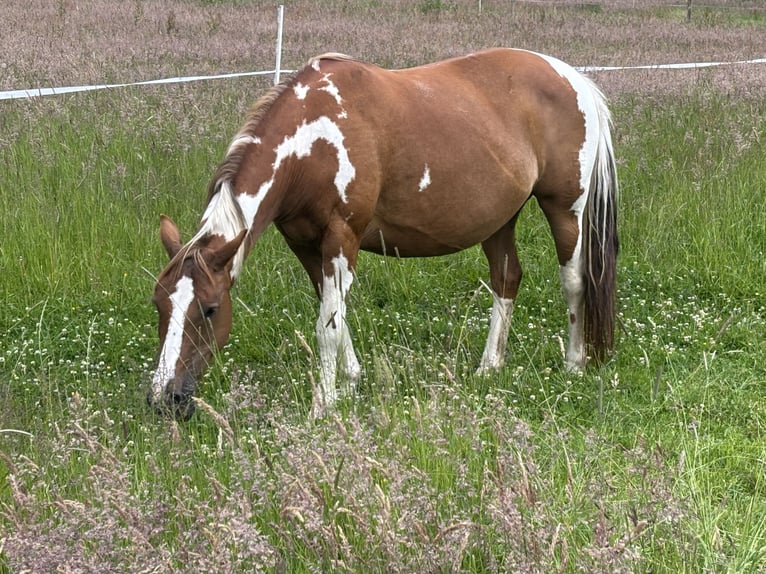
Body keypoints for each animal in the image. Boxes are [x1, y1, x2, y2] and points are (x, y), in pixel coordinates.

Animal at [149, 48, 618, 420]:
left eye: (210, 309)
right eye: (160, 304)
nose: (164, 399)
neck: (314, 140)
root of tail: (573, 77)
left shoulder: (342, 237)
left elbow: (326, 325)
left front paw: (324, 403)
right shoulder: (305, 244)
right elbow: (333, 312)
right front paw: (351, 379)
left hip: (565, 208)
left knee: (574, 282)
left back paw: (574, 363)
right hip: (499, 219)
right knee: (507, 278)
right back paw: (489, 366)